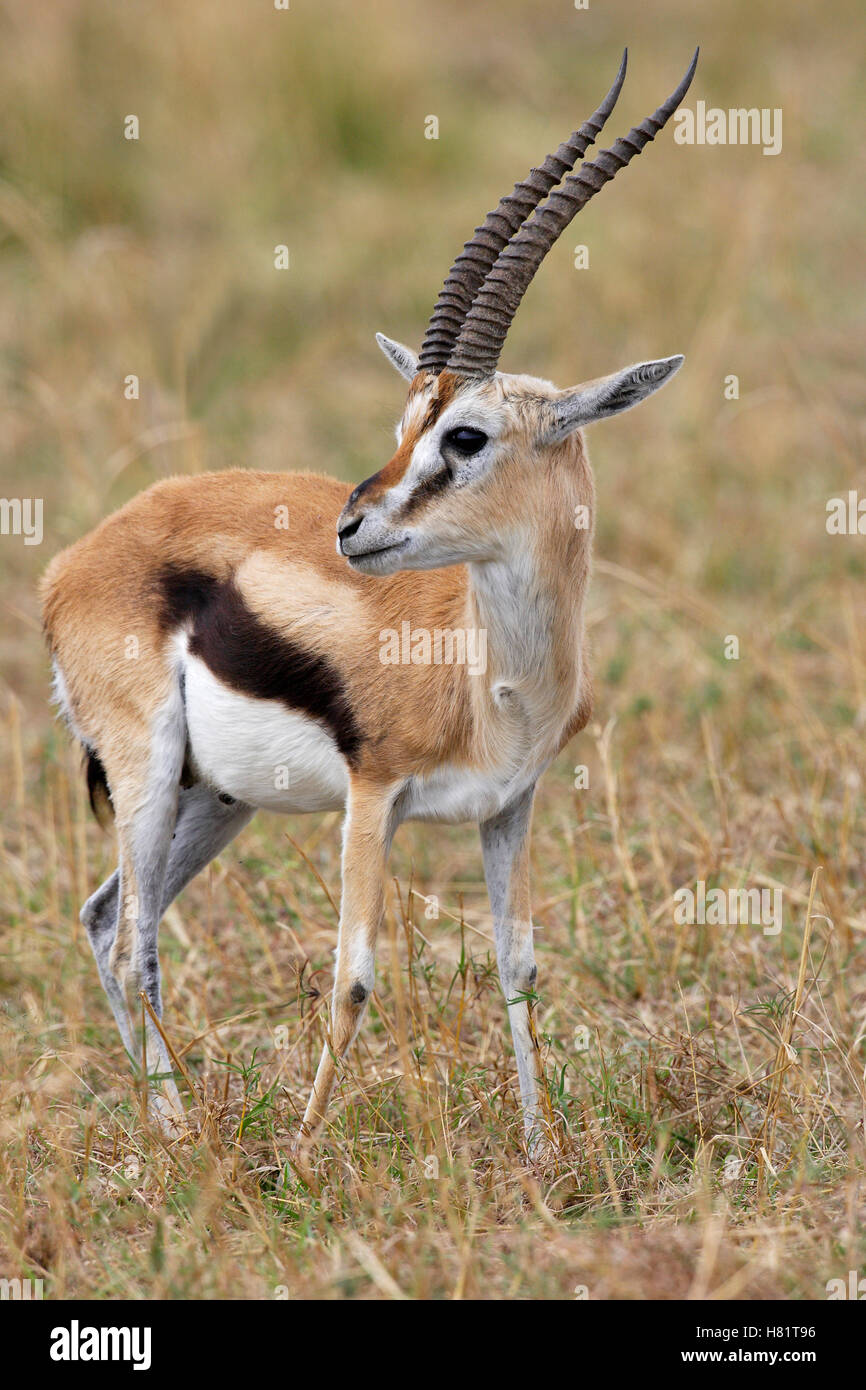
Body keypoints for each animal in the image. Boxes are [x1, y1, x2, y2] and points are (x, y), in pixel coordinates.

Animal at [42, 48, 697, 1162]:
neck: (488, 674)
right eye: (405, 426)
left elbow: (519, 967)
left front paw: (540, 1154)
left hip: (213, 797)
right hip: (147, 770)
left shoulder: (509, 805)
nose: (350, 528)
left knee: (104, 919)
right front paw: (307, 1155)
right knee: (132, 944)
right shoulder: (372, 796)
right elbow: (351, 980)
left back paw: (173, 1129)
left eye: (465, 435)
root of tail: (74, 561)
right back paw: (189, 1142)